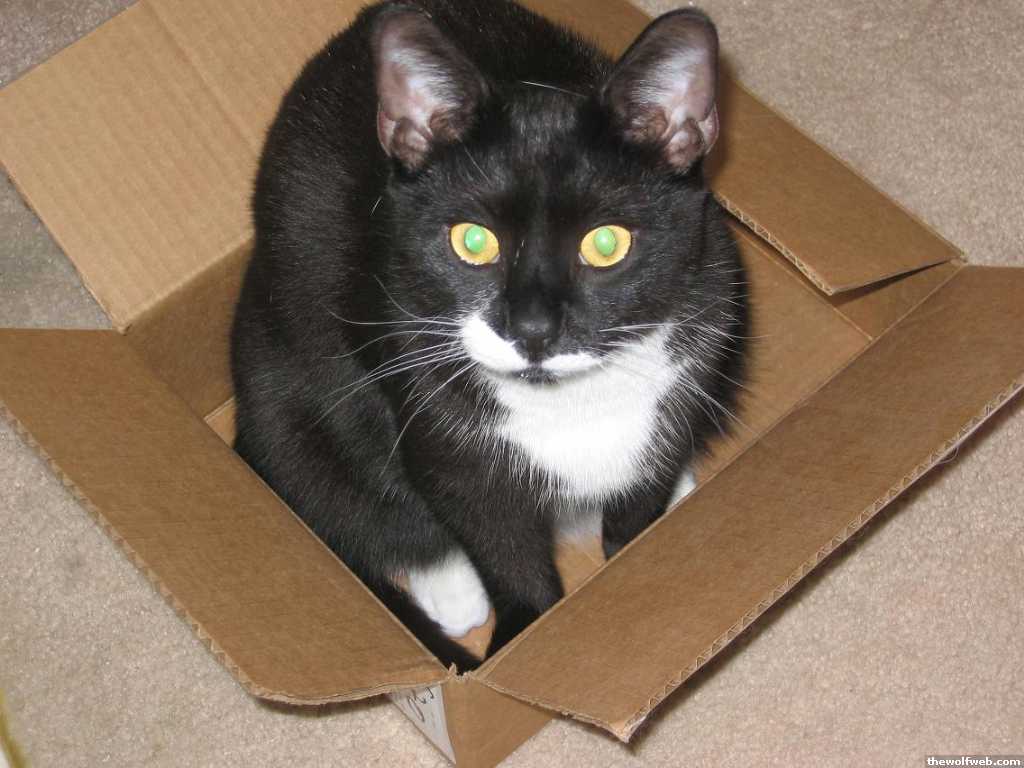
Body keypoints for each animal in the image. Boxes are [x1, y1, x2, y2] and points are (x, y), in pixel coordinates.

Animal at [231, 0, 747, 670]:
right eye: (472, 241)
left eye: (607, 243)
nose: (532, 329)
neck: (567, 401)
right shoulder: (431, 409)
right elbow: (493, 536)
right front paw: (525, 635)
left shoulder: (702, 338)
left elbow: (639, 501)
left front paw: (636, 553)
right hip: (286, 390)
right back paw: (452, 593)